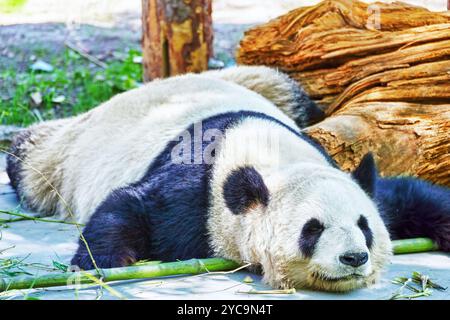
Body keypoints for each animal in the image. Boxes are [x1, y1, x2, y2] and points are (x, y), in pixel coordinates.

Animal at [4, 66, 450, 292]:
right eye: (312, 229)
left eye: (365, 227)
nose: (354, 257)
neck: (267, 155)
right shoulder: (197, 192)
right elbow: (131, 206)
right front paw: (104, 264)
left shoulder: (340, 171)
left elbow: (406, 195)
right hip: (65, 155)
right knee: (31, 159)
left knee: (290, 89)